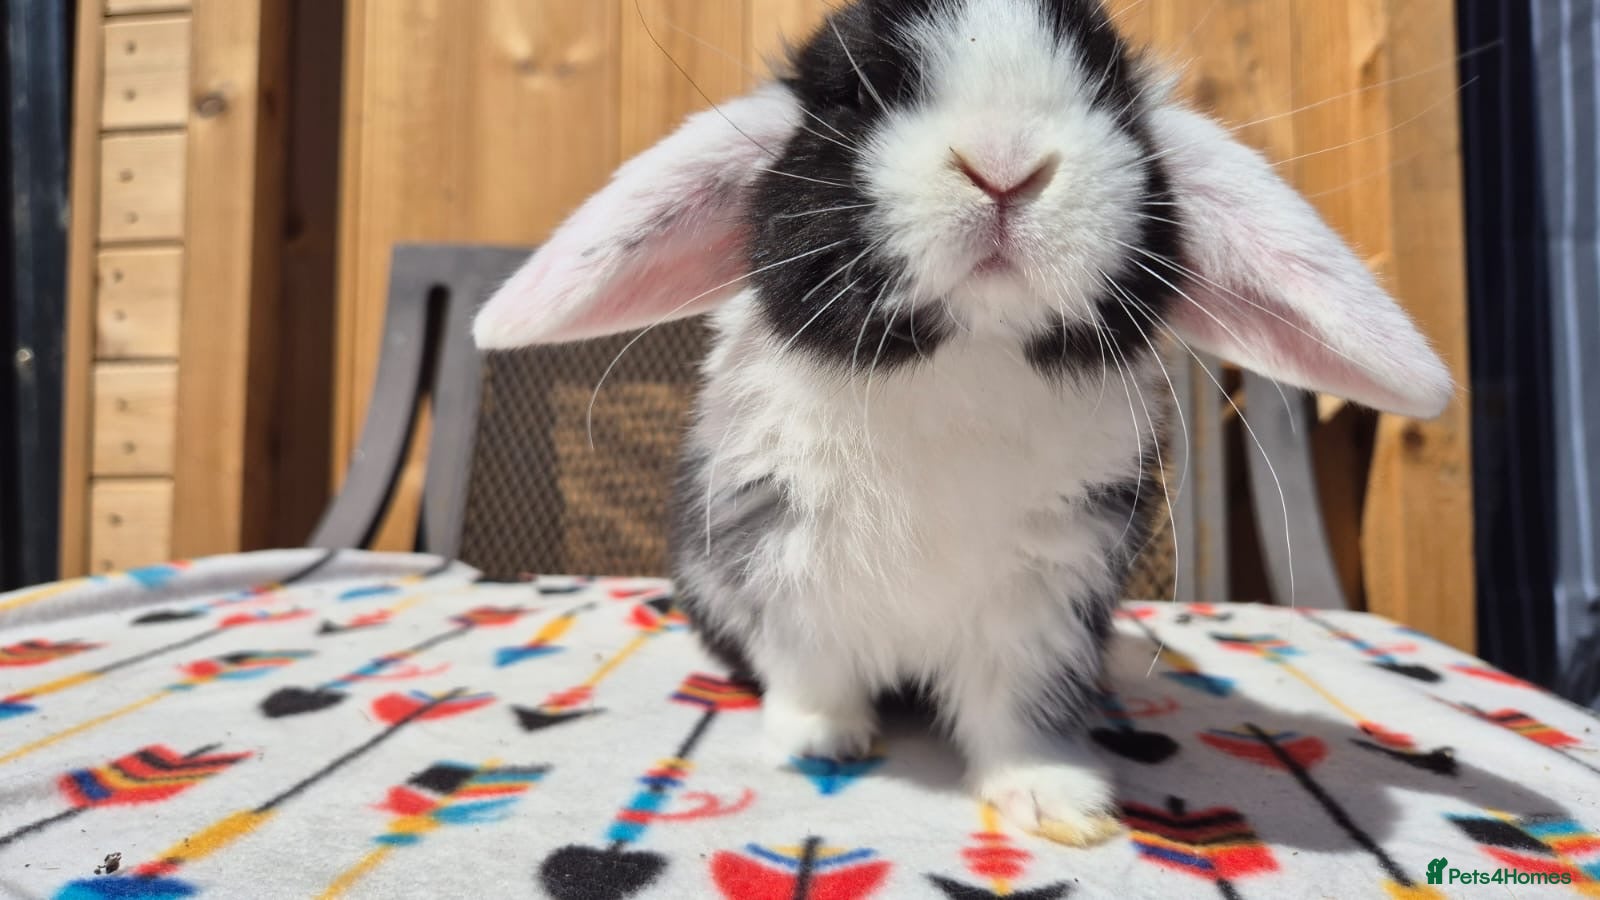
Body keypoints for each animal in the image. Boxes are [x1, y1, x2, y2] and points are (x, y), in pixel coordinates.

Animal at [472, 0, 1453, 846]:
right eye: (853, 96)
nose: (1004, 162)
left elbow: (1019, 710)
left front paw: (1055, 801)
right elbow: (812, 672)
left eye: (1111, 100)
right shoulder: (780, 567)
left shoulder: (1048, 601)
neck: (961, 364)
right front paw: (820, 742)